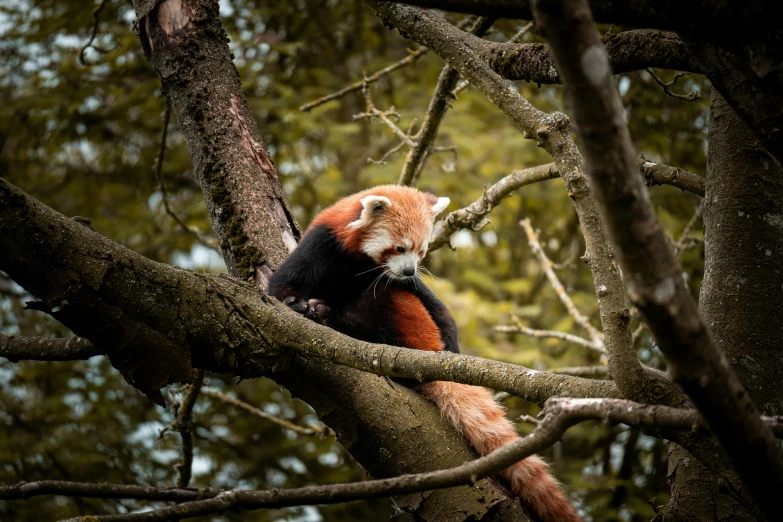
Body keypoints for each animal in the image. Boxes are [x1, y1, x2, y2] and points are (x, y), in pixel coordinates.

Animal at [270, 185, 580, 516]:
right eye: (399, 248)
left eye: (420, 251)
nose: (409, 270)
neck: (356, 260)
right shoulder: (321, 247)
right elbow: (280, 284)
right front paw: (295, 303)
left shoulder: (395, 279)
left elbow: (436, 306)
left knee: (388, 299)